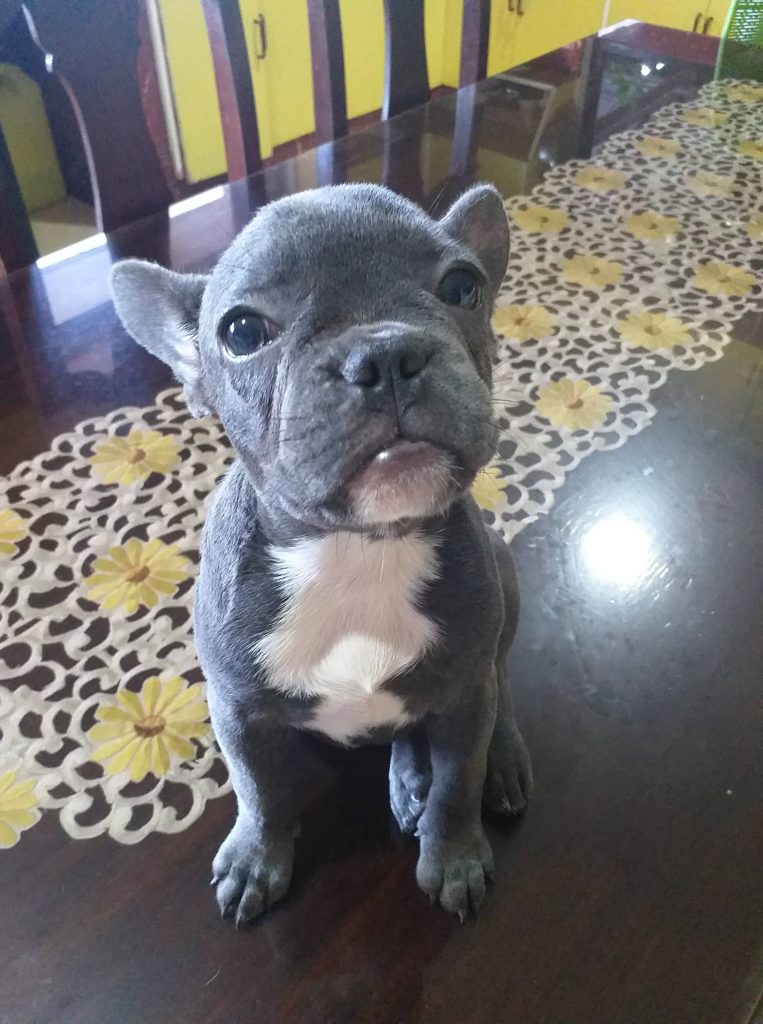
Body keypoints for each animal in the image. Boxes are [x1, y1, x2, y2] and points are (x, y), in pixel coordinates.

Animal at [111, 182, 532, 928]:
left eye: (462, 287)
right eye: (241, 333)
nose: (386, 353)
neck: (356, 551)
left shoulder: (462, 695)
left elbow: (459, 782)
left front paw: (452, 856)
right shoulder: (238, 709)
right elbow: (259, 791)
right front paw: (257, 858)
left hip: (502, 597)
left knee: (497, 685)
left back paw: (481, 762)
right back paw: (408, 776)